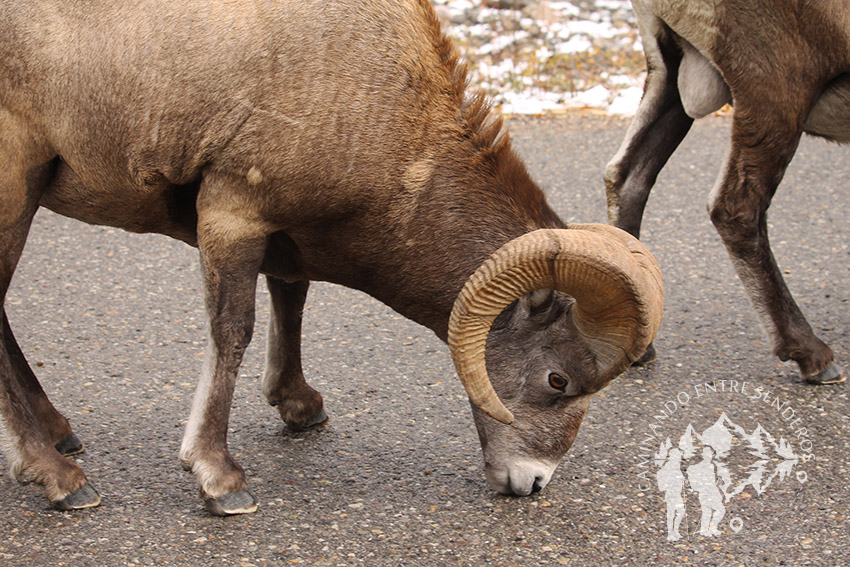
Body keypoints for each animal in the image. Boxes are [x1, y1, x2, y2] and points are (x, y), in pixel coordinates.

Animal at [0, 0, 664, 516]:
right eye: (559, 380)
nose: (532, 484)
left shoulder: (280, 232)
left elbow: (292, 301)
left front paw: (300, 409)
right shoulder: (232, 214)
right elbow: (232, 335)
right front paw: (221, 482)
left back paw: (60, 436)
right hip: (16, 188)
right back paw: (60, 479)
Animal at [608, 0, 844, 386]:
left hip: (668, 71)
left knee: (628, 176)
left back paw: (641, 346)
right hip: (776, 90)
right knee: (735, 209)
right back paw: (812, 355)